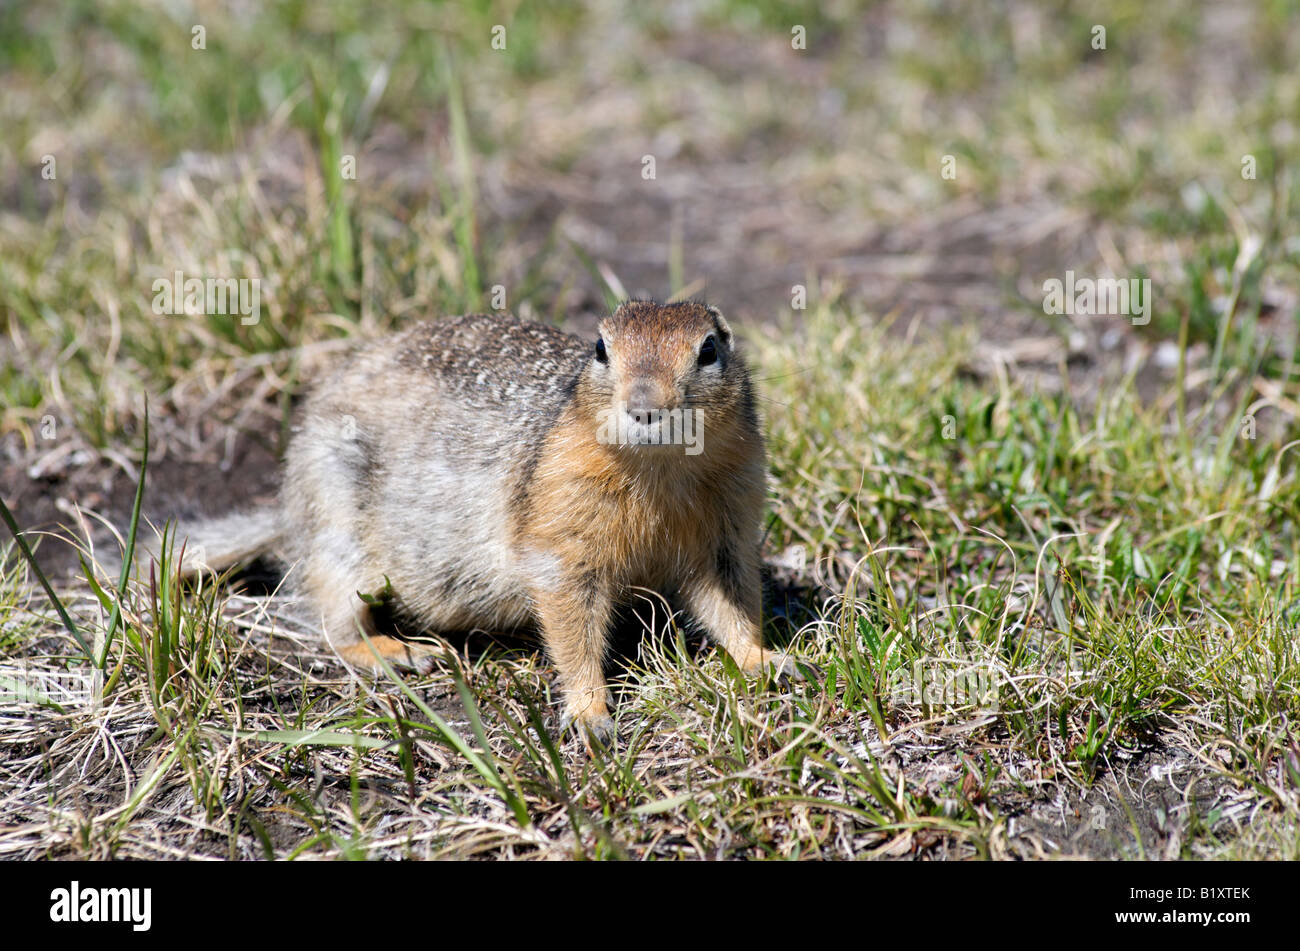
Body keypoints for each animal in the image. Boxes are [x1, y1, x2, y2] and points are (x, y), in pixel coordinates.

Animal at [172, 301, 800, 737]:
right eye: (601, 348)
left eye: (709, 350)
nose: (645, 405)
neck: (662, 469)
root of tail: (285, 512)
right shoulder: (561, 538)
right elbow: (572, 627)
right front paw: (590, 713)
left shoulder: (727, 526)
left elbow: (729, 603)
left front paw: (767, 660)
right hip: (337, 524)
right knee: (334, 621)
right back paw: (396, 652)